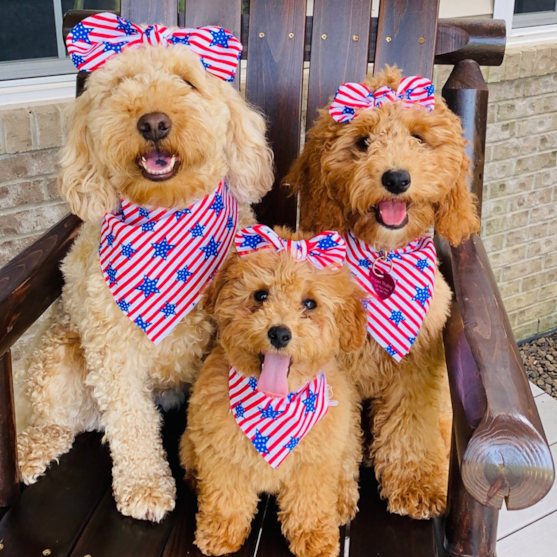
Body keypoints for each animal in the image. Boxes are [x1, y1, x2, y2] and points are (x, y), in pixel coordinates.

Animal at [180, 225, 368, 556]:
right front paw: (220, 532)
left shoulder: (315, 462)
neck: (272, 405)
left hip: (347, 436)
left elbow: (310, 502)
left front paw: (314, 538)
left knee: (347, 469)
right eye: (261, 295)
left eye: (310, 304)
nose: (279, 333)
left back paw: (342, 502)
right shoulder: (221, 455)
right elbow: (226, 497)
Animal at [284, 67, 480, 520]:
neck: (381, 259)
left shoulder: (417, 366)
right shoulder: (334, 369)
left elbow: (411, 426)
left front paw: (415, 484)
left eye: (419, 138)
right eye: (362, 142)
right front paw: (331, 495)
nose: (396, 178)